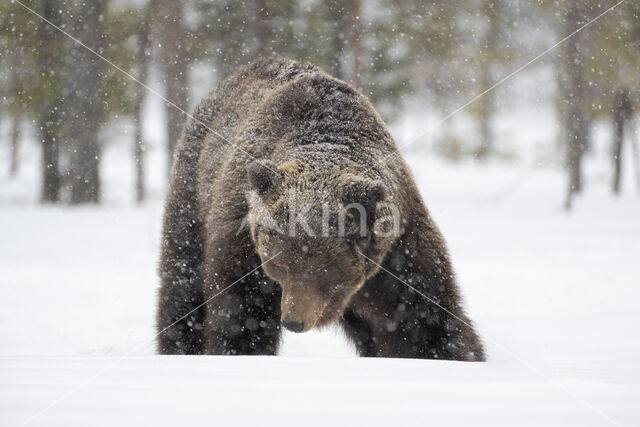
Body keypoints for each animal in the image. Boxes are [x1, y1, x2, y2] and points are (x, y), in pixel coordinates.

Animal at [156, 57, 484, 362]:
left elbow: (421, 317)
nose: (293, 321)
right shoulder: (243, 244)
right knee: (183, 284)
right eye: (279, 265)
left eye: (319, 268)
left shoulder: (397, 249)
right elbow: (241, 314)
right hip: (192, 194)